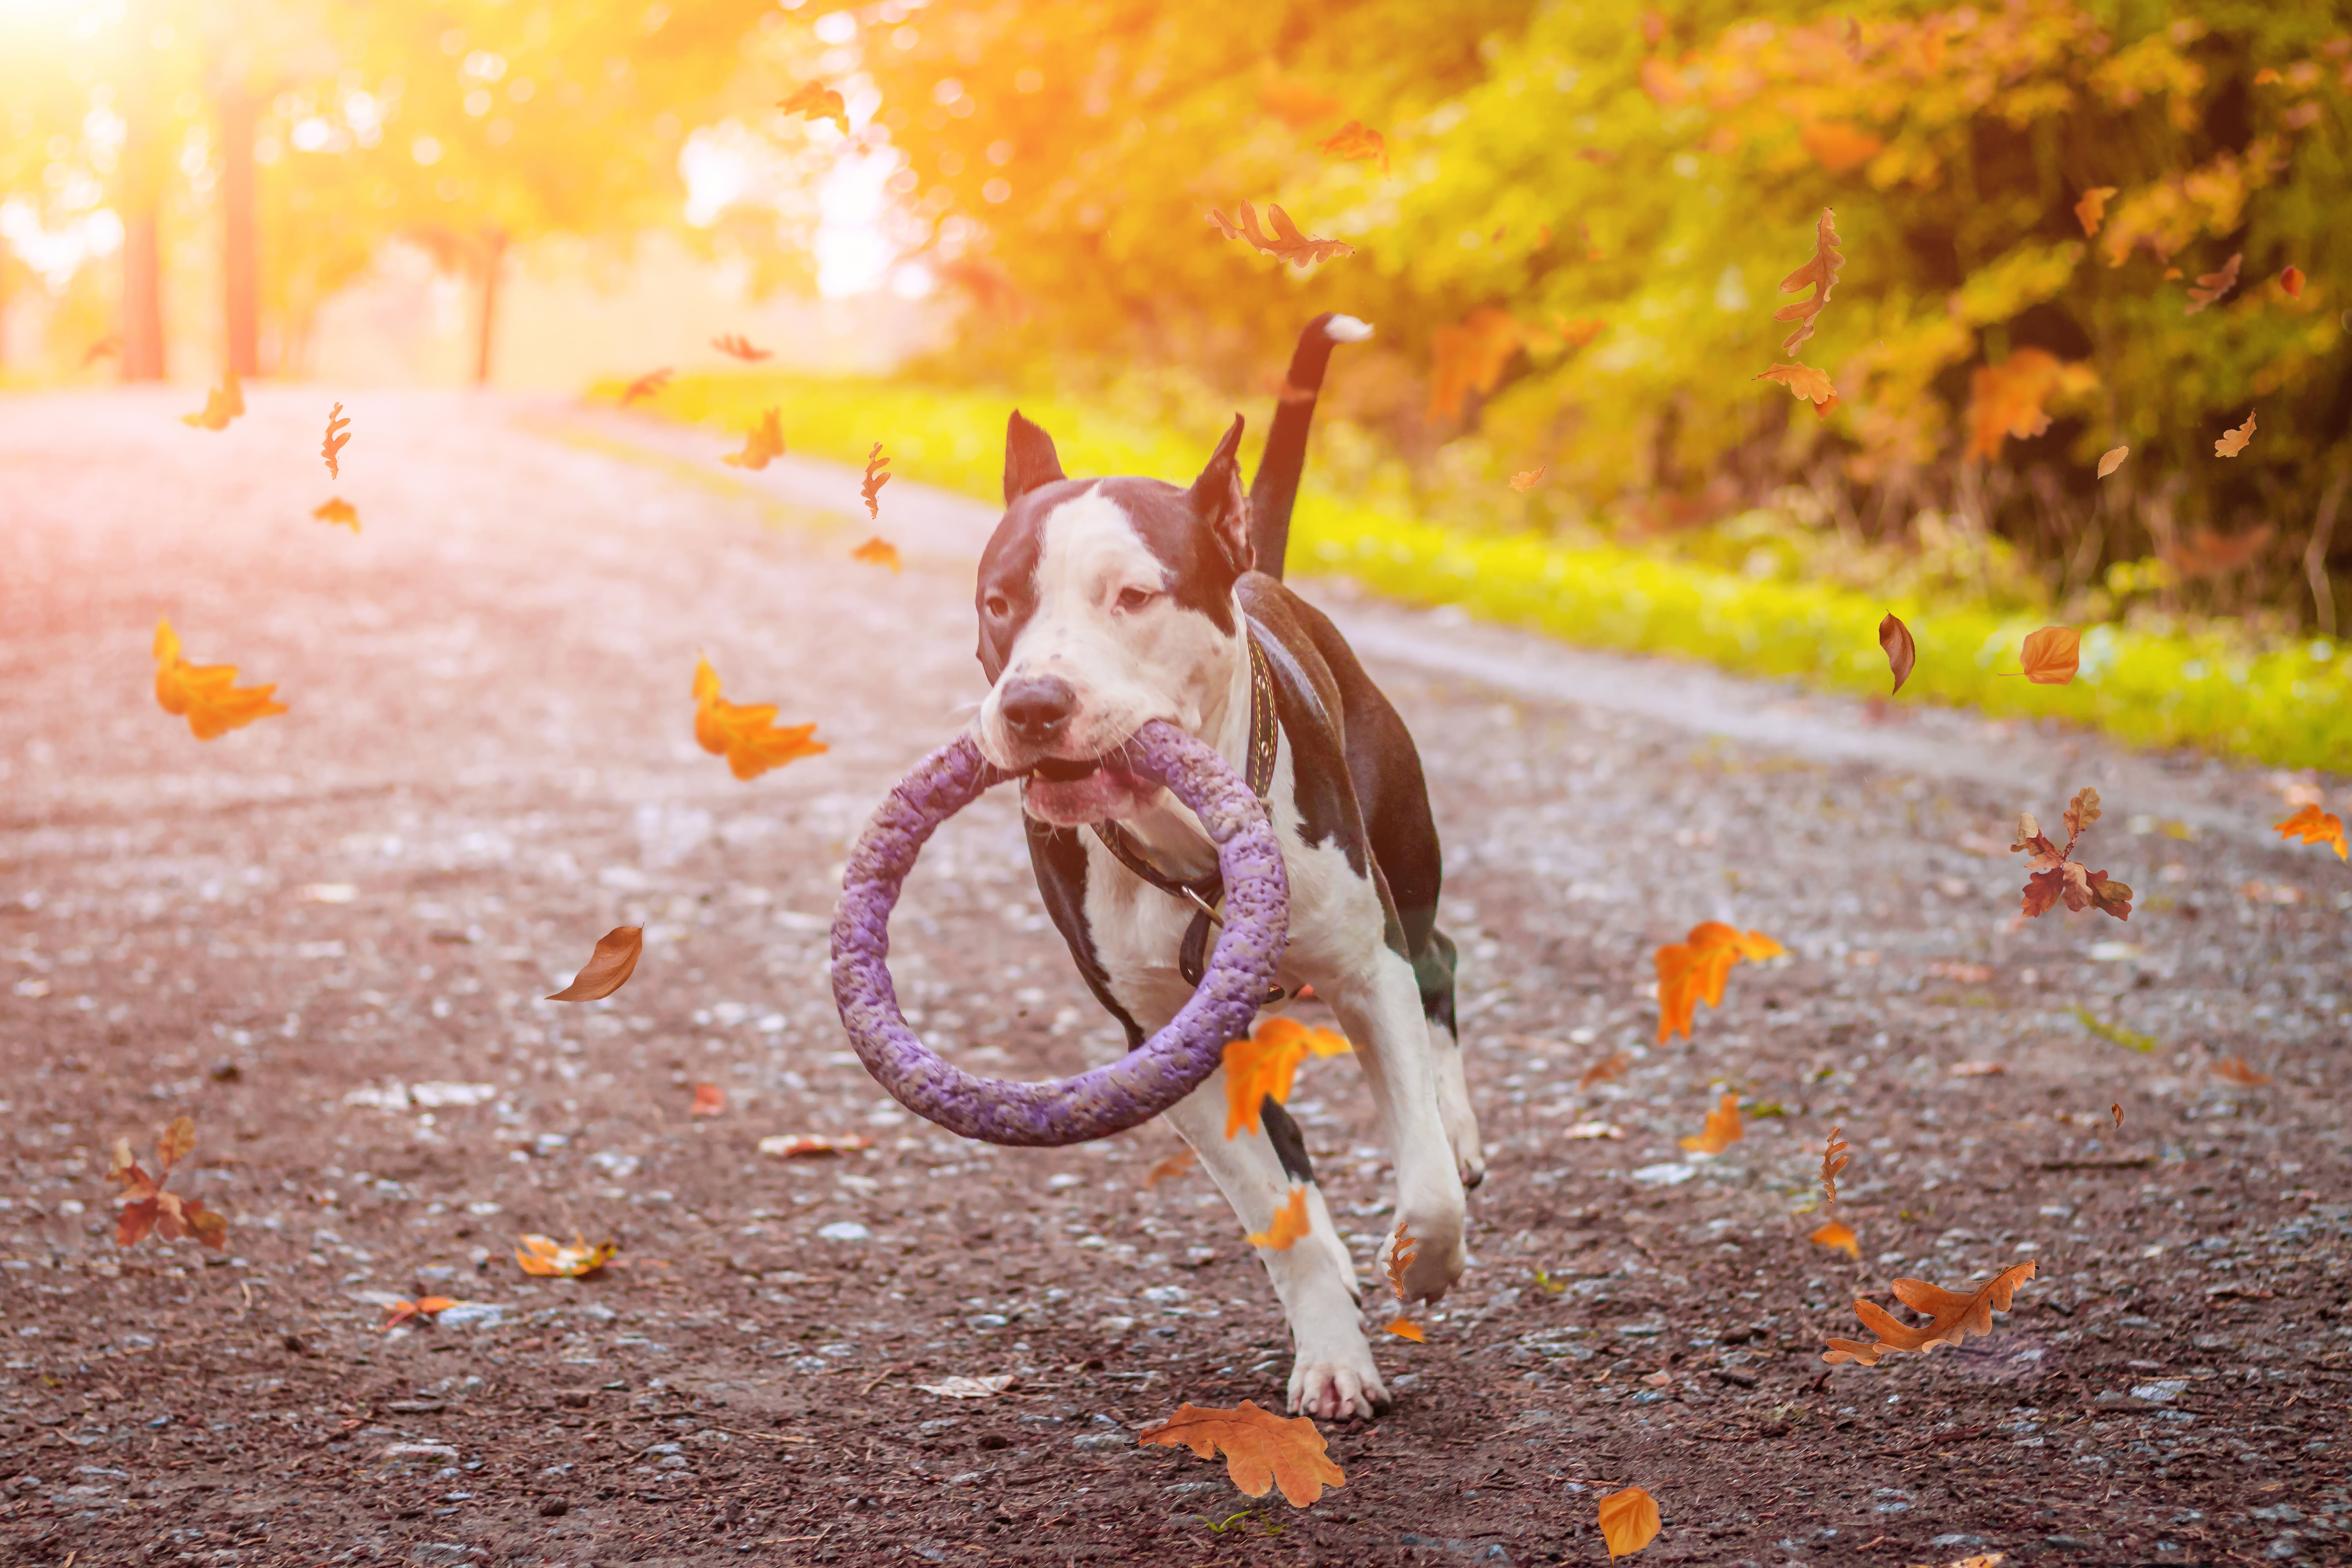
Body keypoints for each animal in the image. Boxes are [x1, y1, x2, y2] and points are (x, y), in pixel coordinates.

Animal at [964, 312, 1477, 1420]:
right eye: (998, 601)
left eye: (1134, 595)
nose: (1032, 704)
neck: (1192, 845)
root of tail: (1261, 572)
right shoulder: (1166, 1042)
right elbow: (1272, 1214)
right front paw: (1331, 1348)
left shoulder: (1367, 970)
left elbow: (1419, 1172)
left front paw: (1425, 1259)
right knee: (1290, 1153)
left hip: (1407, 870)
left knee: (1442, 969)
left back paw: (1458, 1132)